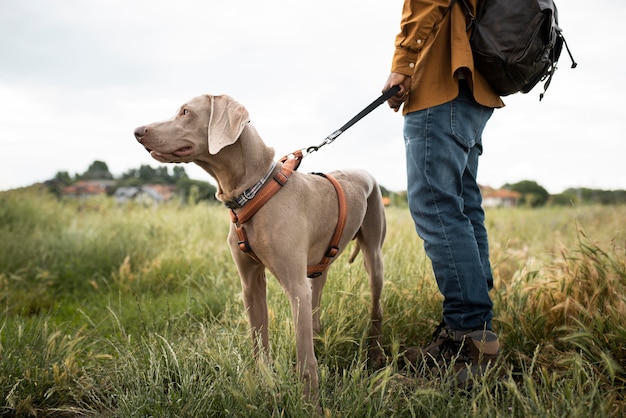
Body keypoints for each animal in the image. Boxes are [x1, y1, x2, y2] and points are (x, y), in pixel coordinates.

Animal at [134, 95, 382, 404]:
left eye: (186, 112)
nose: (137, 131)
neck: (252, 191)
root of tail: (364, 171)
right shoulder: (251, 284)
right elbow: (259, 342)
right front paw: (264, 385)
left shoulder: (295, 287)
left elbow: (304, 359)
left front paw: (310, 403)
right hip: (319, 266)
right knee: (317, 298)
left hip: (374, 257)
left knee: (375, 305)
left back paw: (374, 352)